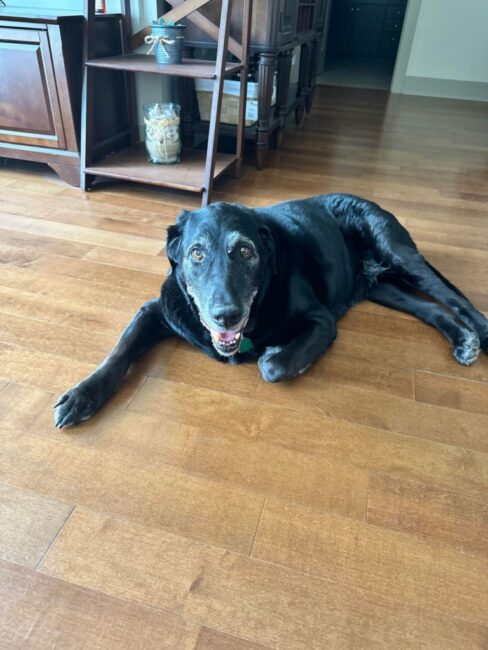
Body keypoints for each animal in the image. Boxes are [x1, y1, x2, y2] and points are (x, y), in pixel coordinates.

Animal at [54, 192, 488, 426]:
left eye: (245, 251)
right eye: (196, 253)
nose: (225, 315)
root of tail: (367, 200)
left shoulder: (321, 321)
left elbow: (274, 366)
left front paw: (280, 356)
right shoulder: (156, 310)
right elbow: (119, 352)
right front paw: (82, 394)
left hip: (397, 253)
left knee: (453, 297)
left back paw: (478, 333)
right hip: (380, 286)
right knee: (429, 308)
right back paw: (460, 338)